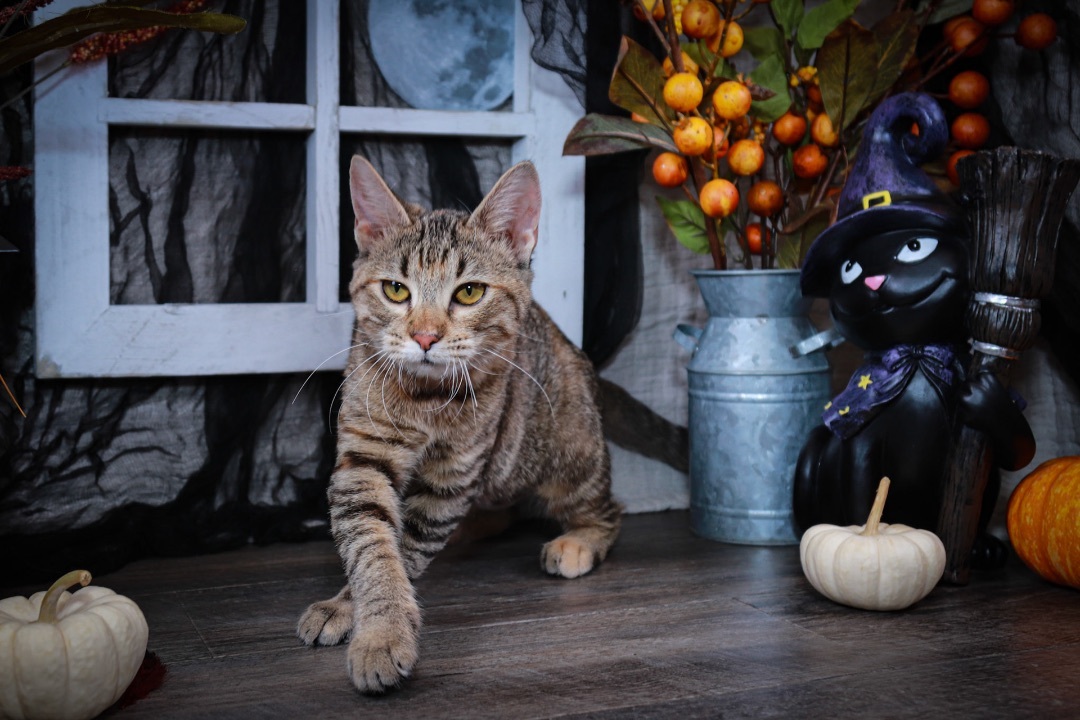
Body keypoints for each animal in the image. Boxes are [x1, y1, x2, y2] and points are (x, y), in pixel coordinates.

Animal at [300, 156, 626, 690]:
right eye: (395, 290)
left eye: (469, 292)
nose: (425, 336)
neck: (425, 399)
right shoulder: (364, 458)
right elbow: (373, 545)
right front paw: (369, 617)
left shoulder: (451, 478)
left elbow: (404, 546)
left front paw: (375, 633)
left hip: (568, 453)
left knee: (606, 509)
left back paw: (579, 540)